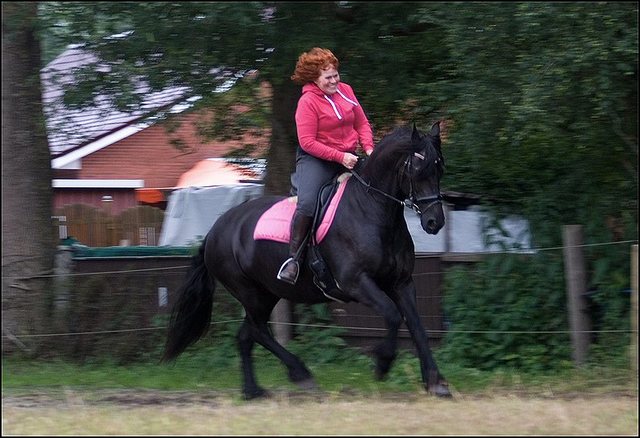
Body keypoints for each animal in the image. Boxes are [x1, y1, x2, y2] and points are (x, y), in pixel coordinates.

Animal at [162, 121, 452, 398]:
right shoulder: (356, 283)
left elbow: (417, 327)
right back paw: (299, 373)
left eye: (439, 169)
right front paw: (383, 364)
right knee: (257, 331)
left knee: (246, 335)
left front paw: (436, 382)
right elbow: (392, 316)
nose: (434, 222)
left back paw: (253, 390)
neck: (371, 210)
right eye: (417, 169)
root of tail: (215, 231)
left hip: (267, 293)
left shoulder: (402, 283)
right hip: (250, 293)